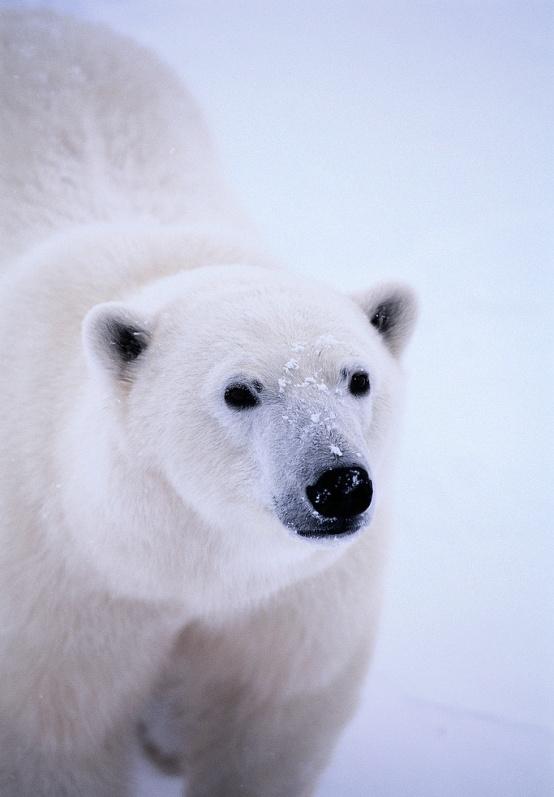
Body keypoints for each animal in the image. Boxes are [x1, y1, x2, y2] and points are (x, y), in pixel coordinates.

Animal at [0, 7, 414, 796]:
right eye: (240, 391)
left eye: (357, 378)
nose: (338, 485)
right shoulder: (63, 596)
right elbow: (56, 735)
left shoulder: (290, 602)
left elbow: (265, 722)